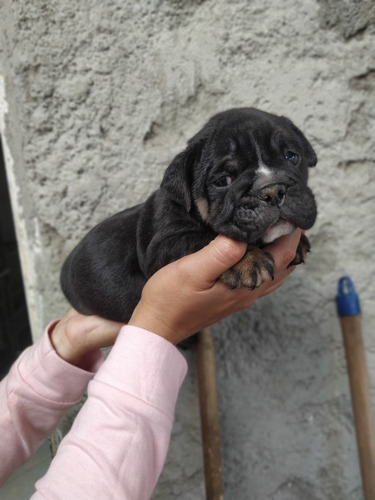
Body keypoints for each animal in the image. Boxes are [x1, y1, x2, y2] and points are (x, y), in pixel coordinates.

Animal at [61, 107, 318, 322]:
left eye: (291, 157)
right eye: (223, 181)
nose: (272, 190)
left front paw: (299, 242)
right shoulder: (162, 248)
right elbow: (204, 238)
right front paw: (248, 260)